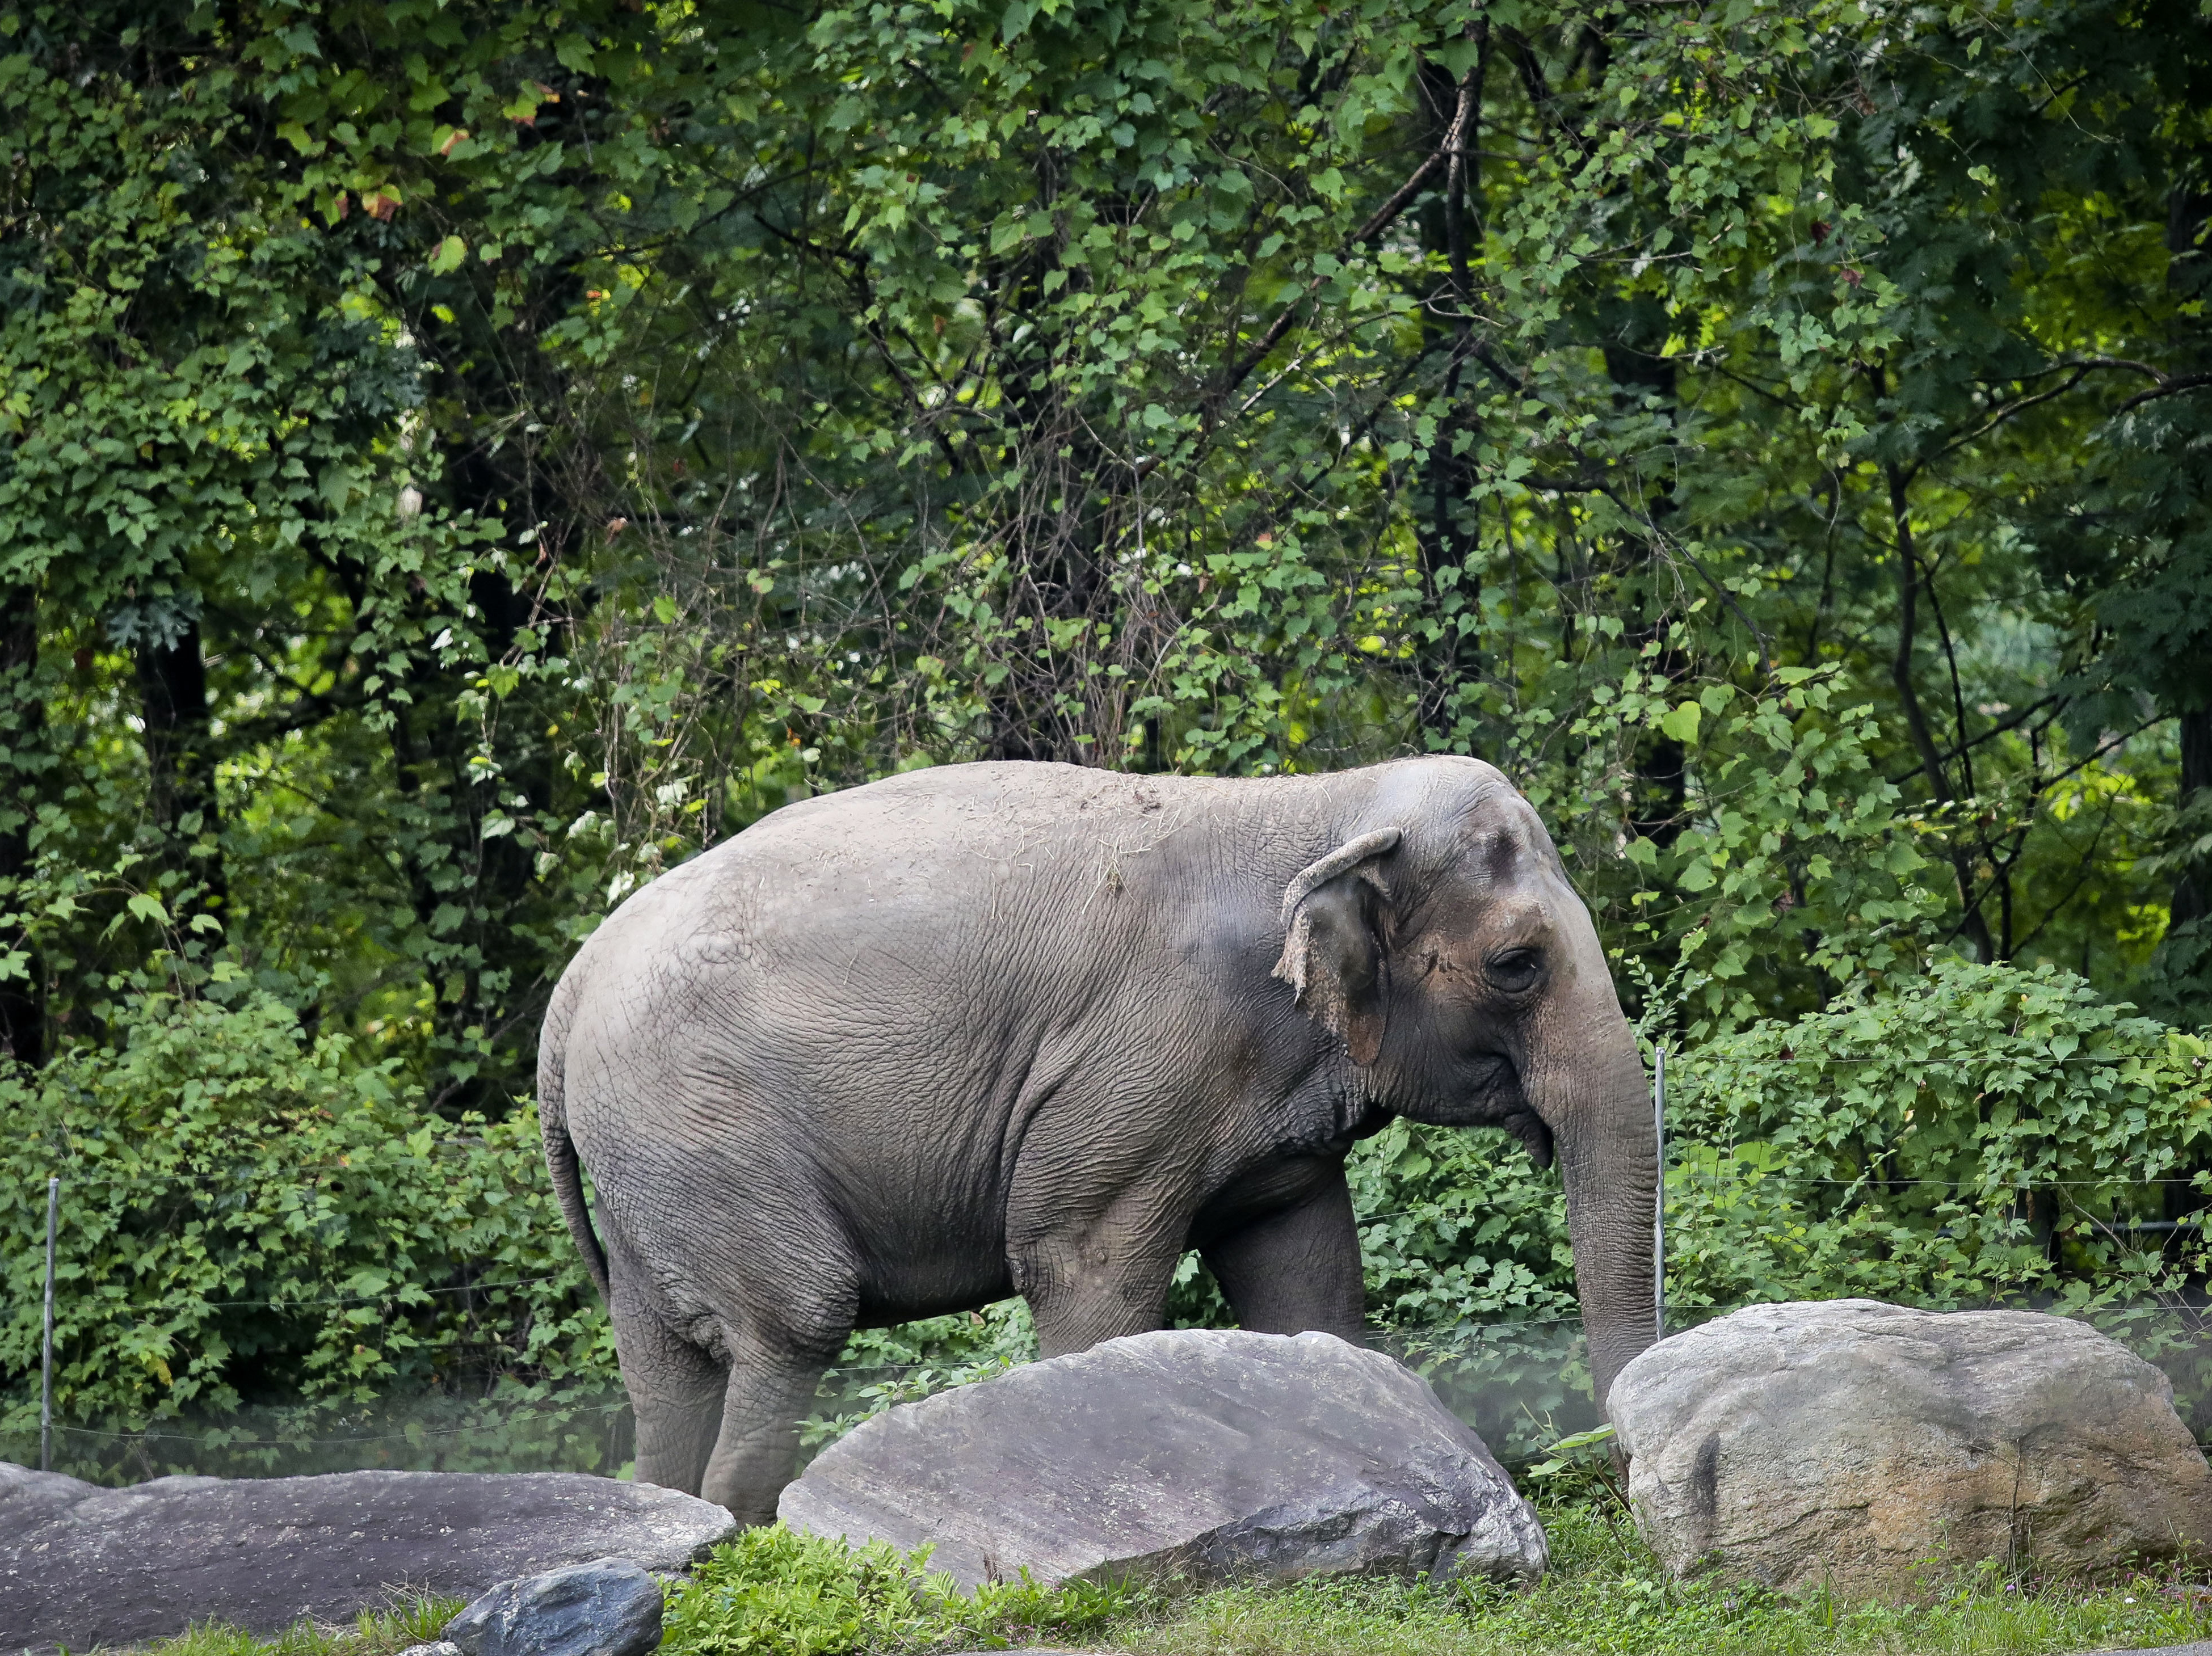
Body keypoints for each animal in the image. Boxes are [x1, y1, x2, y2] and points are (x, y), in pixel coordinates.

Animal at [539, 756, 1657, 1523]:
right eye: (1515, 964)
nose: (1617, 1476)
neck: (1318, 804)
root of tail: (572, 985)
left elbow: (1305, 1278)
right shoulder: (1137, 1066)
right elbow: (1083, 1266)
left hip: (648, 1163)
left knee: (663, 1368)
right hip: (703, 1127)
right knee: (793, 1322)